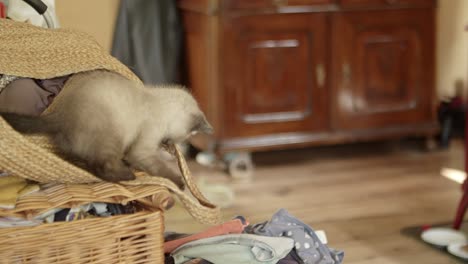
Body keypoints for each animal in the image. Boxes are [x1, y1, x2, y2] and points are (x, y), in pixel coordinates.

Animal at [0, 70, 213, 186]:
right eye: (178, 140)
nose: (167, 145)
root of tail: (62, 115)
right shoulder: (143, 148)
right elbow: (161, 168)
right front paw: (180, 183)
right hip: (114, 135)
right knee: (103, 166)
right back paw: (128, 175)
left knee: (90, 163)